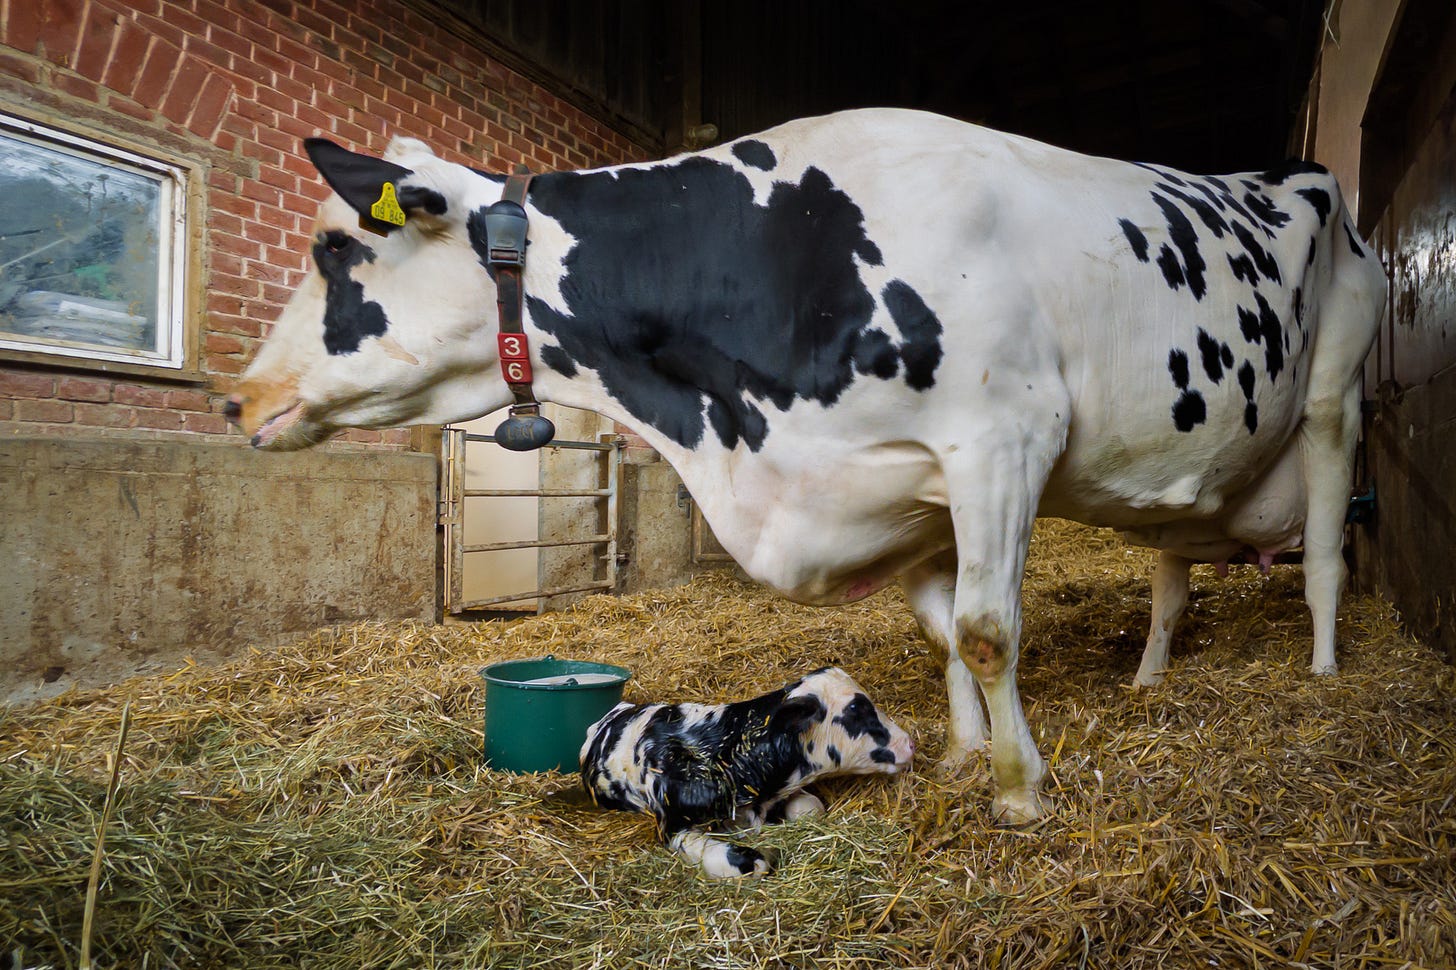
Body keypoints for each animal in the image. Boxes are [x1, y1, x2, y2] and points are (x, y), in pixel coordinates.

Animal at [226, 108, 1386, 823]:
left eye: (339, 248)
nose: (239, 397)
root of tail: (1302, 173)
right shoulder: (903, 489)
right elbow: (942, 636)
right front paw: (966, 752)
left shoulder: (1000, 438)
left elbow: (987, 628)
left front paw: (1018, 789)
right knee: (1170, 579)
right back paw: (1148, 675)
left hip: (1334, 395)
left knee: (1328, 555)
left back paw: (1327, 674)